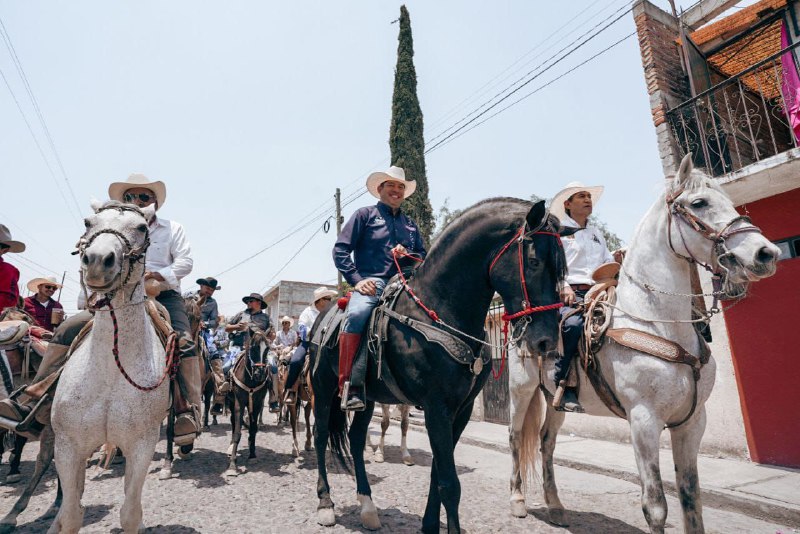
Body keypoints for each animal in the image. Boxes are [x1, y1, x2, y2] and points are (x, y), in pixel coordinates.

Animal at [48, 202, 170, 534]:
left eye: (141, 227)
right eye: (88, 222)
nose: (98, 261)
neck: (109, 374)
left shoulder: (142, 446)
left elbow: (130, 512)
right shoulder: (68, 447)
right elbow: (72, 513)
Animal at [310, 199, 564, 532]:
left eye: (561, 266)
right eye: (533, 262)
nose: (546, 341)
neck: (439, 310)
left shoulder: (461, 410)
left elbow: (437, 474)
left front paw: (429, 524)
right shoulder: (436, 407)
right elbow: (450, 483)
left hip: (366, 397)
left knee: (355, 440)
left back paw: (367, 507)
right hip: (323, 390)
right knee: (320, 436)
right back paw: (326, 504)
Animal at [510, 156, 780, 534]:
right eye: (699, 203)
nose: (766, 253)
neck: (660, 321)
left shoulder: (692, 422)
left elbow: (691, 499)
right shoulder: (644, 420)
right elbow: (655, 505)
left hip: (554, 399)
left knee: (547, 442)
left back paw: (556, 507)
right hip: (521, 390)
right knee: (516, 436)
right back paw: (518, 501)